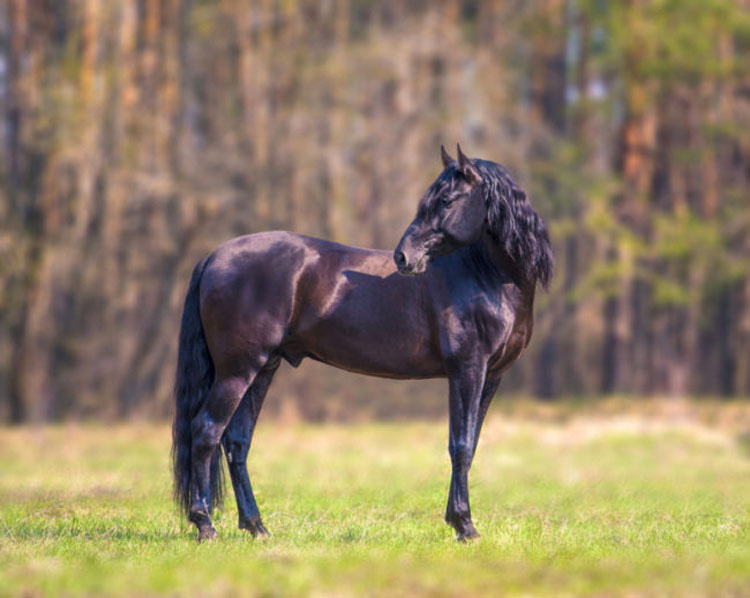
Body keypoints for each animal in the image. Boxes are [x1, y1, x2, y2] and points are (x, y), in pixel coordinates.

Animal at [173, 144, 556, 544]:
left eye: (447, 200)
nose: (404, 257)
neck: (487, 276)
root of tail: (214, 256)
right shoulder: (467, 370)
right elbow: (460, 445)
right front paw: (464, 525)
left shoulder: (492, 375)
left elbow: (471, 442)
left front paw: (459, 521)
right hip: (237, 371)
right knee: (205, 432)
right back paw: (205, 525)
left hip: (263, 368)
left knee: (236, 441)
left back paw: (256, 526)